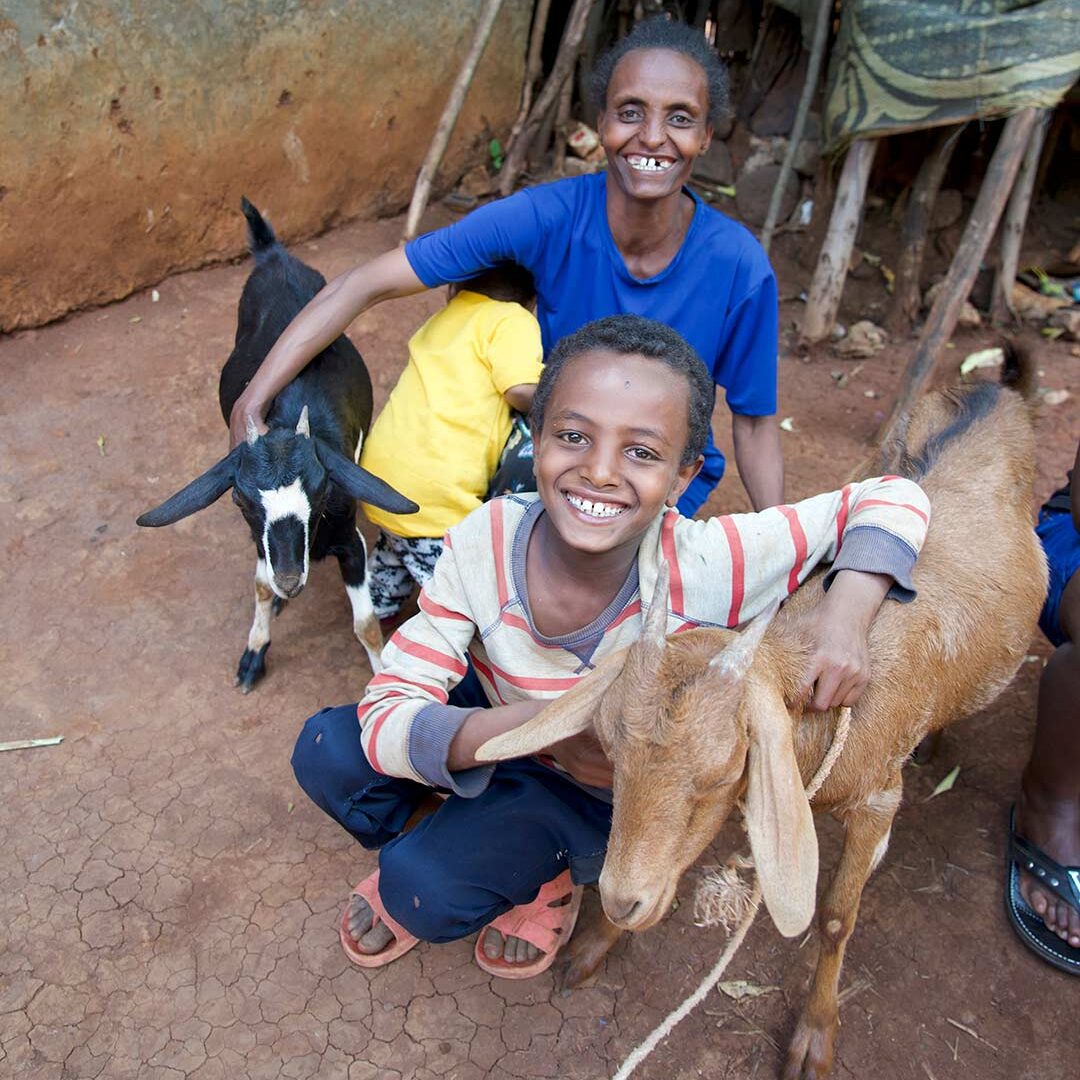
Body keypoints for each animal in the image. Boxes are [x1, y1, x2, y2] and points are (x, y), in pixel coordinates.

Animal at [139, 197, 416, 691]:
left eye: (323, 490)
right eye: (240, 500)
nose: (291, 579)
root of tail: (274, 254)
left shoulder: (349, 540)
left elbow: (365, 624)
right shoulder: (259, 540)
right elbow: (260, 587)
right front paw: (254, 653)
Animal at [475, 362, 1045, 1080]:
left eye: (720, 773)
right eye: (611, 752)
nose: (621, 898)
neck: (823, 714)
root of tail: (998, 390)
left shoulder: (877, 797)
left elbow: (835, 918)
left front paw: (814, 1037)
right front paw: (596, 943)